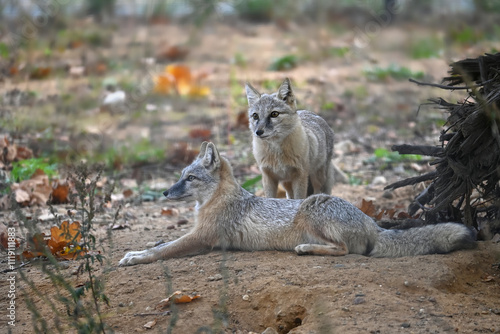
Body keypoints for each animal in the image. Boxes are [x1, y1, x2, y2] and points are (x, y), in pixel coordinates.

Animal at [118, 141, 476, 266]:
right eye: (181, 176)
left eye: (190, 178)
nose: (165, 193)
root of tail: (371, 220)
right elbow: (162, 242)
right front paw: (142, 247)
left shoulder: (203, 238)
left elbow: (164, 250)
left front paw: (136, 256)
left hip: (311, 209)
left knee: (345, 250)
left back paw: (305, 249)